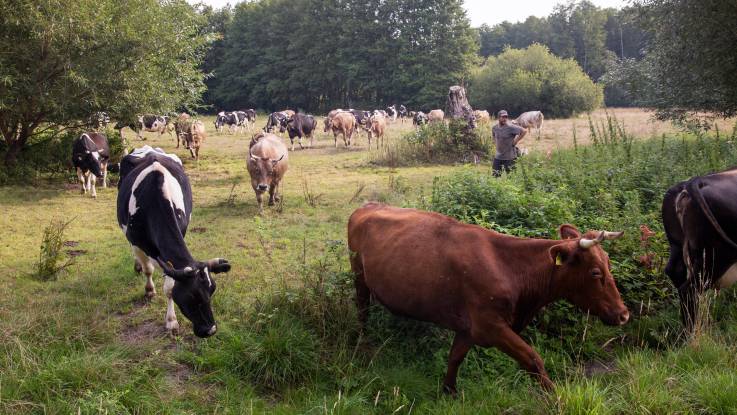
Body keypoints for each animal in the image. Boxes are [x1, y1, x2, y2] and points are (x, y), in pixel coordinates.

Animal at [117, 146, 230, 338]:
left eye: (212, 290)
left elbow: (169, 285)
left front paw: (171, 321)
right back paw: (137, 265)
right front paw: (150, 291)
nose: (210, 330)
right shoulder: (137, 242)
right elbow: (148, 269)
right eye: (190, 297)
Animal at [348, 204, 628, 394]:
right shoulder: (490, 327)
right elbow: (533, 359)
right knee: (362, 310)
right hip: (359, 277)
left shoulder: (468, 328)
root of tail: (367, 206)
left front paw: (448, 392)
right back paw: (362, 343)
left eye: (609, 263)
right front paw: (556, 398)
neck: (509, 268)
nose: (624, 314)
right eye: (595, 272)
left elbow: (455, 358)